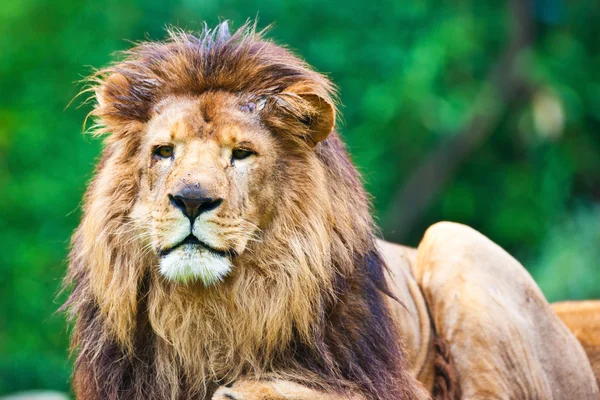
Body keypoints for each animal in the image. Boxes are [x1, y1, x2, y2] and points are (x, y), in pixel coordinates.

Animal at [62, 22, 600, 400]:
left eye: (241, 154)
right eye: (164, 152)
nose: (192, 199)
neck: (211, 310)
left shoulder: (395, 383)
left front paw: (251, 388)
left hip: (455, 240)